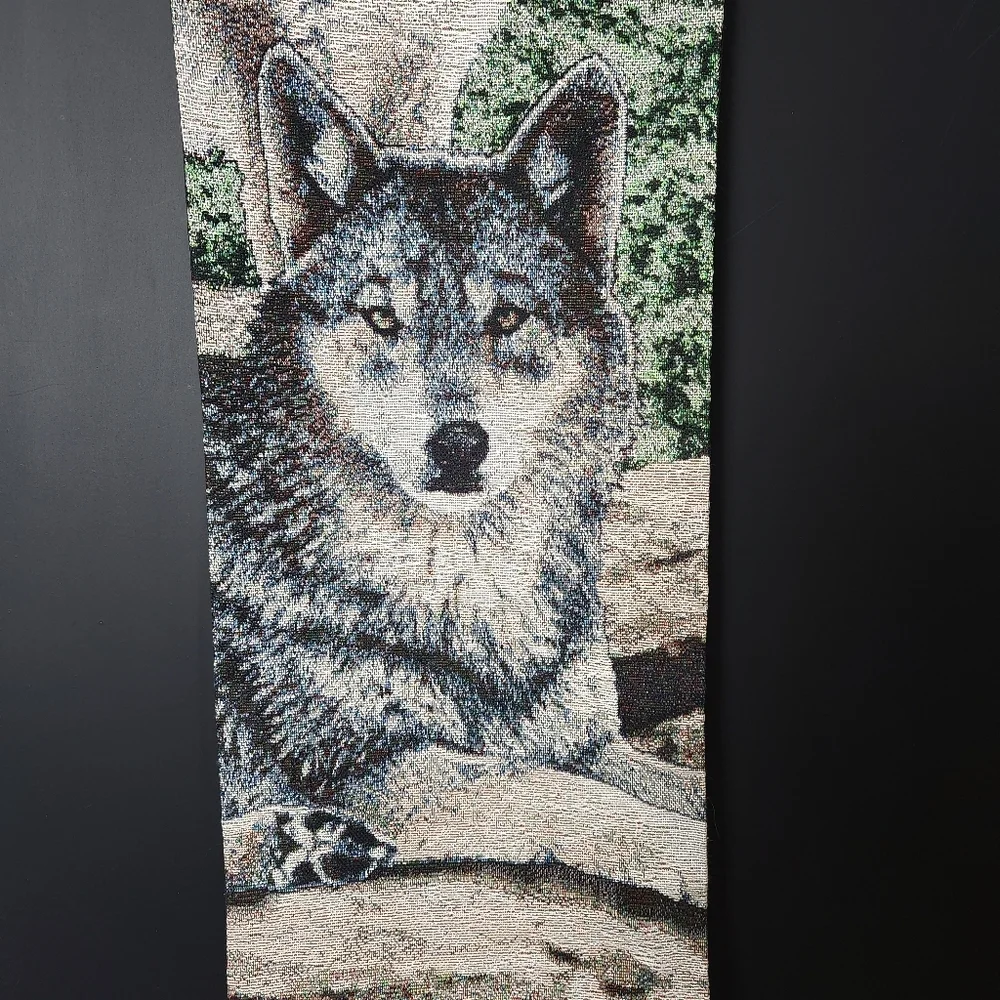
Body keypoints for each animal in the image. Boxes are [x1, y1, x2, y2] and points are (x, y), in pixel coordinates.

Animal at [202, 42, 706, 893]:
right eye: (382, 317)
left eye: (507, 317)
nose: (459, 444)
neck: (467, 581)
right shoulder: (391, 770)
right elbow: (583, 805)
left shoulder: (587, 744)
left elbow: (675, 787)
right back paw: (298, 842)